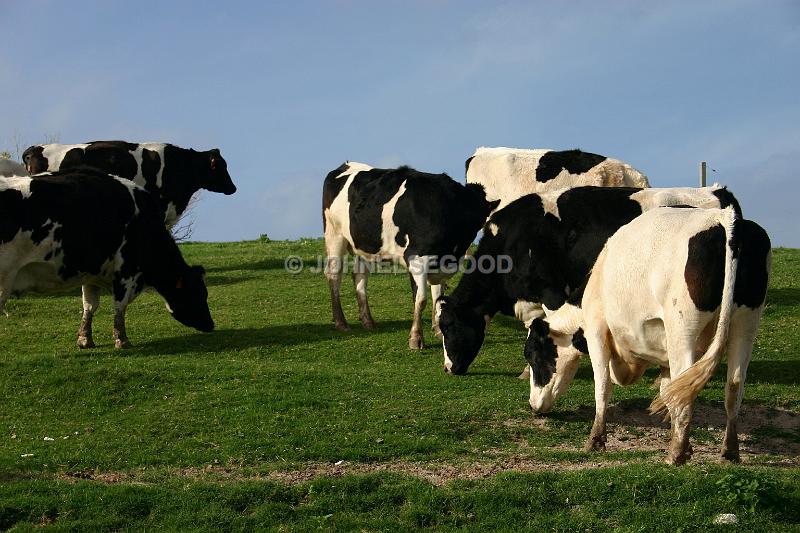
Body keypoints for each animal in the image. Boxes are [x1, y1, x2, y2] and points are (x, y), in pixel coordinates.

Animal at [0, 167, 216, 350]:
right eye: (199, 293)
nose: (210, 324)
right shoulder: (126, 269)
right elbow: (119, 306)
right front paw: (122, 340)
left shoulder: (90, 273)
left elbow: (89, 306)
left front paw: (85, 339)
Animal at [322, 161, 496, 350]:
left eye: (481, 217)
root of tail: (345, 165)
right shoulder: (417, 258)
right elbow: (421, 300)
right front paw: (416, 338)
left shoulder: (440, 265)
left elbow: (437, 297)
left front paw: (438, 330)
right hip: (334, 235)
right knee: (334, 275)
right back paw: (341, 322)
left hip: (364, 244)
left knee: (359, 276)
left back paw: (368, 321)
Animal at [524, 206, 768, 464]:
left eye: (532, 355)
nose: (532, 405)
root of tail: (724, 217)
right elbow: (669, 391)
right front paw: (686, 444)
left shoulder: (596, 331)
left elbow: (602, 386)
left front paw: (595, 440)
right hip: (746, 323)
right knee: (733, 385)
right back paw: (728, 450)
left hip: (682, 328)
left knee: (688, 385)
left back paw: (675, 455)